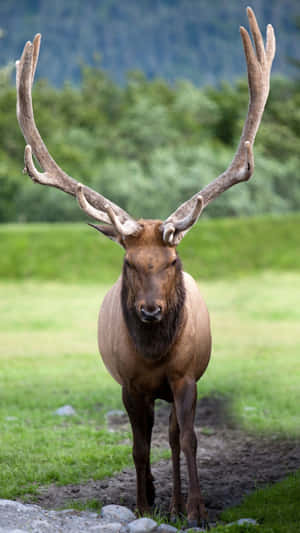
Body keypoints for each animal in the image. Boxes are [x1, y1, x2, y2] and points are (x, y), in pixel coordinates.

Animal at [15, 9, 274, 528]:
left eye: (172, 260)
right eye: (128, 262)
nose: (151, 311)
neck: (154, 355)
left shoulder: (186, 377)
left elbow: (188, 439)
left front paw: (195, 511)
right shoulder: (130, 384)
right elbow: (136, 446)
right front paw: (141, 503)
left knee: (172, 437)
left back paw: (174, 502)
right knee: (151, 438)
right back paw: (156, 497)